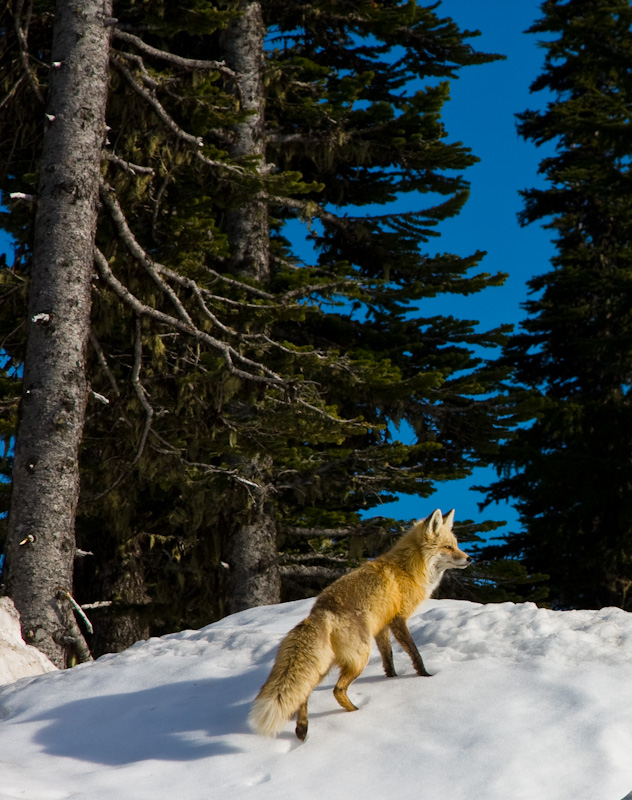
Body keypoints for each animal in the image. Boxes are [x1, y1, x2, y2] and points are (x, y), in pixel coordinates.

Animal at [249, 510, 472, 740]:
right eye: (448, 547)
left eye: (456, 545)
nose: (469, 558)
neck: (408, 570)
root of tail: (320, 611)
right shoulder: (398, 620)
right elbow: (415, 653)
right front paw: (425, 676)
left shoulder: (382, 626)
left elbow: (388, 658)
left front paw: (392, 679)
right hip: (359, 658)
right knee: (337, 690)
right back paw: (356, 713)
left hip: (325, 665)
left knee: (305, 694)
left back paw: (302, 729)